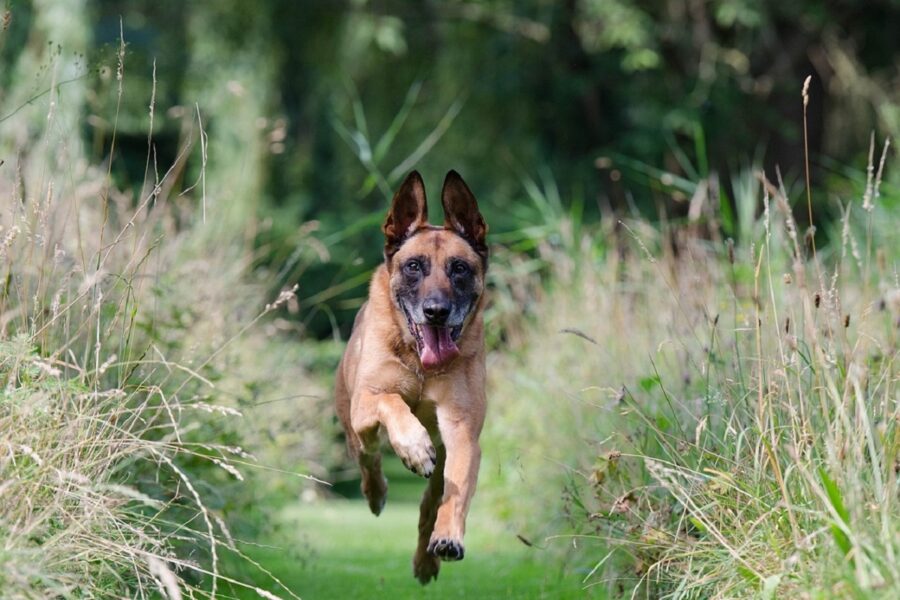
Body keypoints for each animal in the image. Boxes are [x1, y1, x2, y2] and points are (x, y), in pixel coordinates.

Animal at [332, 171, 486, 584]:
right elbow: (392, 401)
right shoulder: (369, 400)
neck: (421, 363)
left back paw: (426, 559)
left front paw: (448, 537)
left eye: (459, 268)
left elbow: (455, 495)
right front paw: (414, 447)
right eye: (414, 266)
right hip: (354, 425)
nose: (436, 311)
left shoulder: (461, 430)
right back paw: (377, 492)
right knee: (368, 458)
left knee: (431, 501)